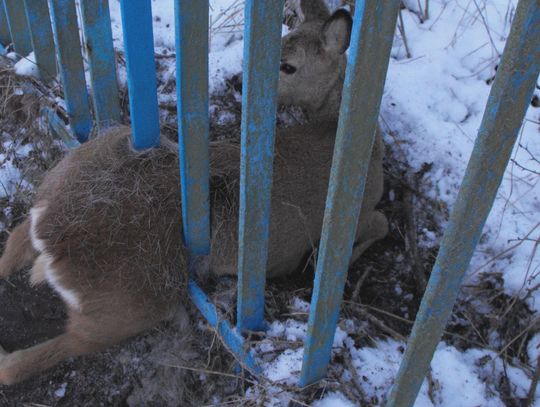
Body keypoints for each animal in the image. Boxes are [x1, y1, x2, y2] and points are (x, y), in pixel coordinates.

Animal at [0, 0, 388, 386]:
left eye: (290, 64)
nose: (237, 81)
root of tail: (58, 241)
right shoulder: (355, 214)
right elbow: (380, 223)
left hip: (58, 190)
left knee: (12, 244)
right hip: (134, 301)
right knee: (31, 360)